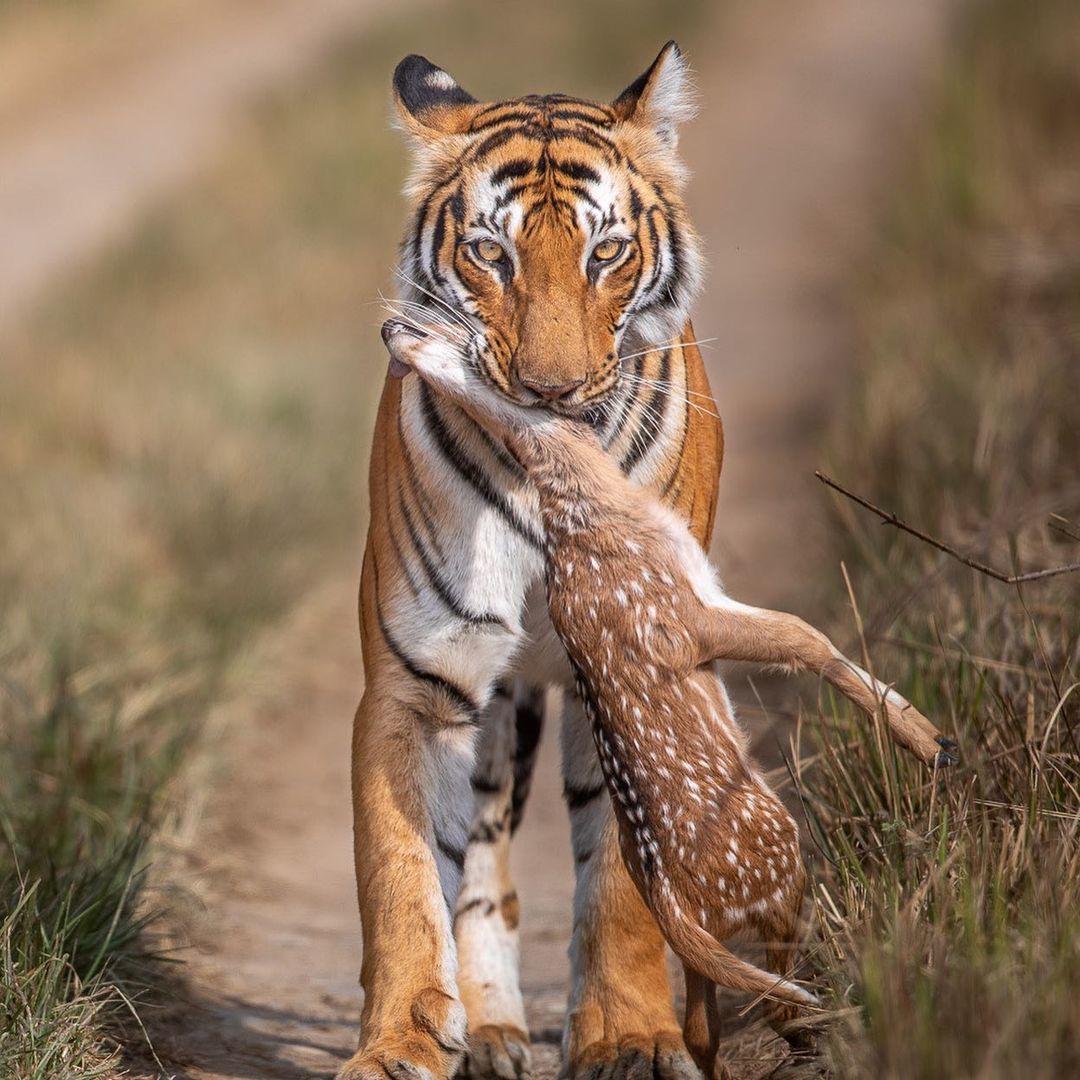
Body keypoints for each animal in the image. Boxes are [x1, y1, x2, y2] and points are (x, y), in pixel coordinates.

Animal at [341, 42, 721, 1080]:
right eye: (490, 254)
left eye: (606, 253)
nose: (550, 391)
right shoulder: (414, 686)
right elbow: (401, 880)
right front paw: (399, 1045)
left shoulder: (644, 670)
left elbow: (627, 884)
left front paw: (631, 1039)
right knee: (481, 867)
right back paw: (491, 1028)